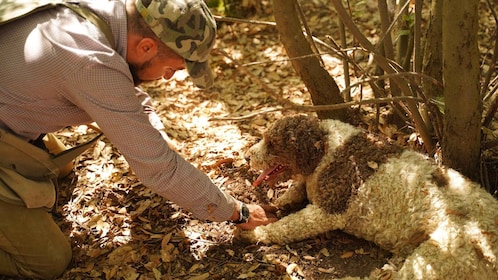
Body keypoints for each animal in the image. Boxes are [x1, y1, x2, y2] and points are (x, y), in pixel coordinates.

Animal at [242, 114, 498, 280]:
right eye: (265, 138)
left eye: (273, 144)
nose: (246, 156)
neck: (327, 148)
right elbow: (299, 188)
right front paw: (283, 199)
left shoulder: (327, 212)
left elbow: (286, 226)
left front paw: (255, 233)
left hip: (437, 256)